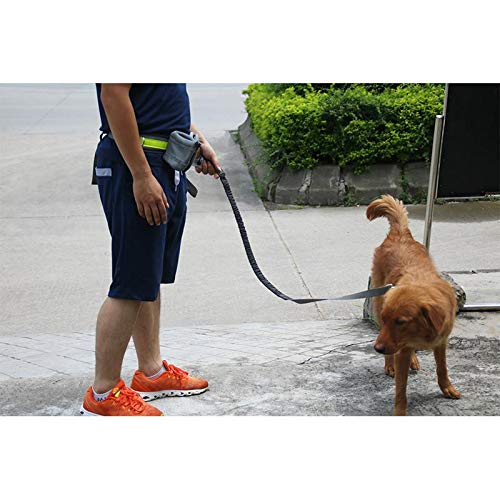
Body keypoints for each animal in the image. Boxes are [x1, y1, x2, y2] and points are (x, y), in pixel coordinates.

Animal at [366, 193, 458, 416]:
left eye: (401, 322)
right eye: (387, 319)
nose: (377, 348)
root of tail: (400, 233)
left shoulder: (441, 341)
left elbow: (442, 367)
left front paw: (447, 387)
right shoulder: (398, 347)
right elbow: (401, 388)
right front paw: (400, 412)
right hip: (378, 301)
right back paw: (390, 364)